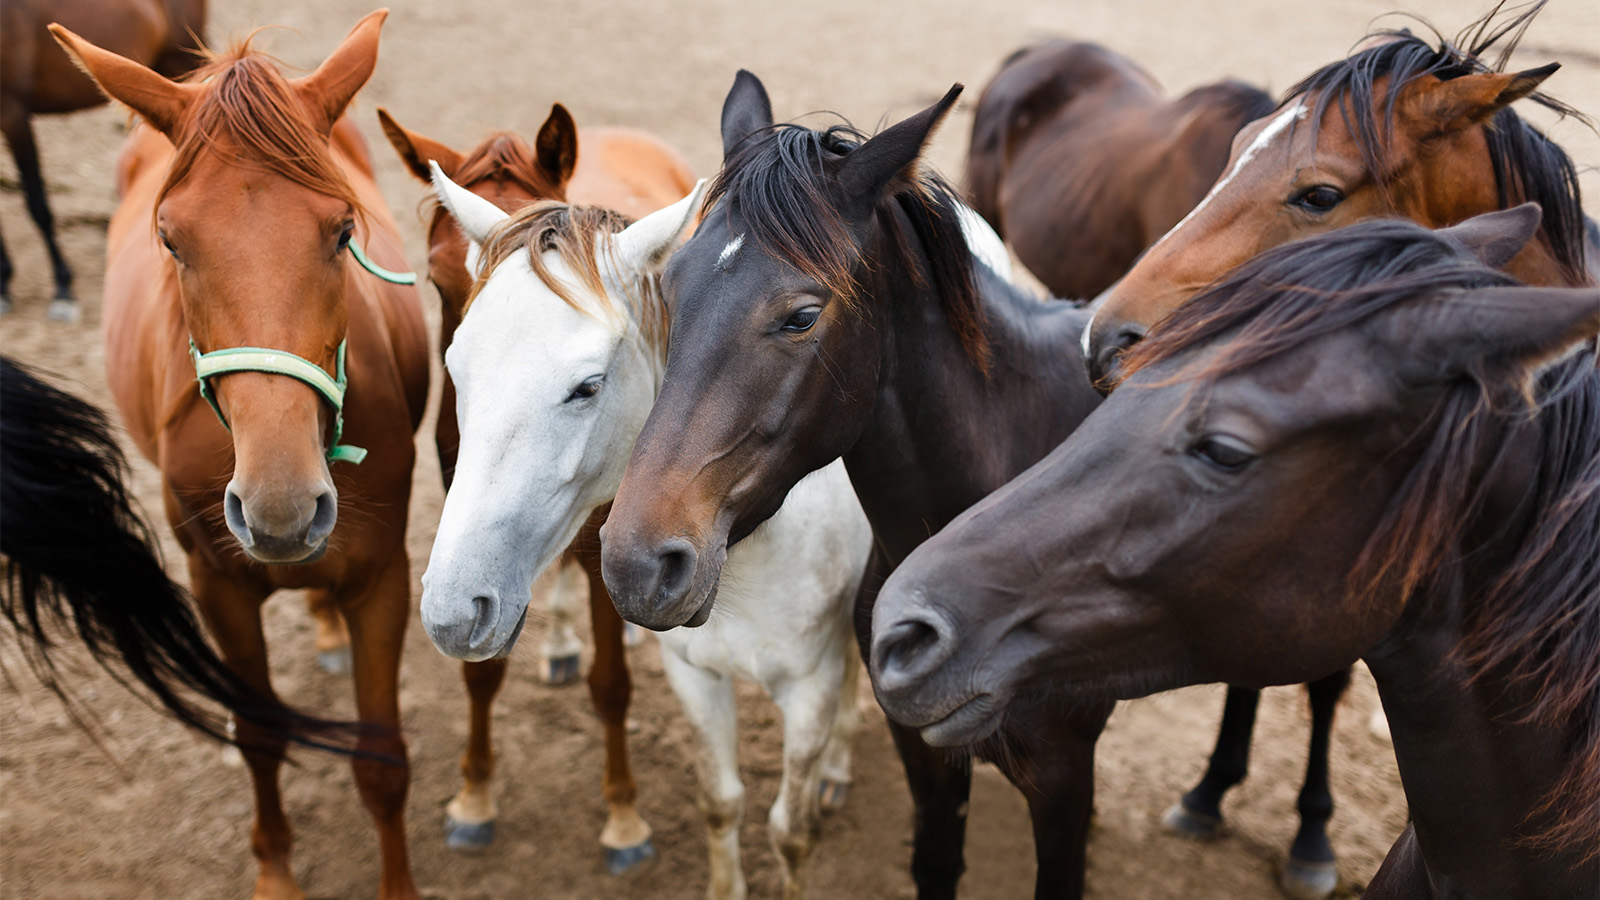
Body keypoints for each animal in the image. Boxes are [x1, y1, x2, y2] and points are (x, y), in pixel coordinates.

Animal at [51, 12, 432, 899]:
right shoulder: (215, 583)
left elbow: (382, 759)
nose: (282, 508)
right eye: (170, 240)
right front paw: (275, 873)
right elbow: (259, 736)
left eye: (342, 230)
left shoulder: (381, 576)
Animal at [376, 106, 694, 863]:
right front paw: (474, 799)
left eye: (588, 386)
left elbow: (611, 685)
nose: (452, 612)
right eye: (455, 363)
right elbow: (482, 670)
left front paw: (624, 819)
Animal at [425, 169, 874, 899]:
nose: (452, 610)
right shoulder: (694, 676)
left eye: (587, 386)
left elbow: (790, 830)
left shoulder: (810, 686)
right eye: (456, 367)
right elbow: (721, 802)